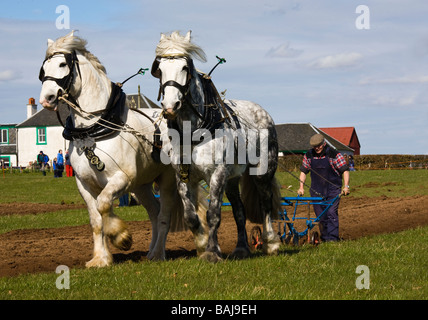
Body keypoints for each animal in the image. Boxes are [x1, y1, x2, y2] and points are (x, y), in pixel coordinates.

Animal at [38, 31, 207, 268]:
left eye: (62, 64)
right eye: (44, 67)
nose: (46, 98)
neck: (93, 130)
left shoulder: (122, 178)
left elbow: (104, 204)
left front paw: (121, 236)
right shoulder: (84, 184)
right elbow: (96, 219)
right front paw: (100, 258)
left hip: (167, 181)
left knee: (163, 215)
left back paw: (158, 254)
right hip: (142, 186)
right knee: (154, 213)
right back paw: (151, 251)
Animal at [151, 31, 280, 262]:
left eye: (185, 67)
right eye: (160, 69)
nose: (170, 106)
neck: (193, 131)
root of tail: (262, 111)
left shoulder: (217, 174)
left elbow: (213, 214)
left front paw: (212, 252)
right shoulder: (184, 176)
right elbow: (191, 216)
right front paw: (202, 244)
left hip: (262, 172)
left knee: (266, 203)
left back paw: (271, 243)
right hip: (232, 179)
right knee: (239, 211)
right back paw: (241, 248)